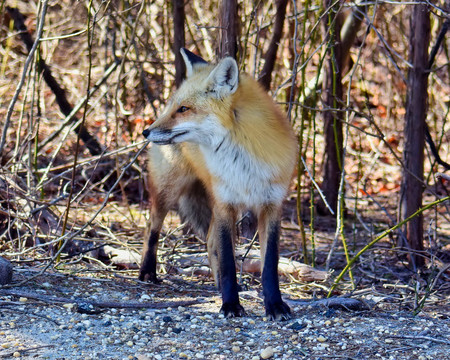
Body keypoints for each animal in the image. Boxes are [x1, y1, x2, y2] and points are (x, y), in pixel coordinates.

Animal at [139, 48, 298, 320]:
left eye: (184, 108)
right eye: (173, 107)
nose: (146, 132)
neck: (243, 161)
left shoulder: (271, 206)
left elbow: (269, 265)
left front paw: (274, 305)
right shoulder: (226, 203)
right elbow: (227, 261)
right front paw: (231, 305)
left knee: (210, 240)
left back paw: (217, 284)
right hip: (168, 190)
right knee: (152, 228)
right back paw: (147, 272)